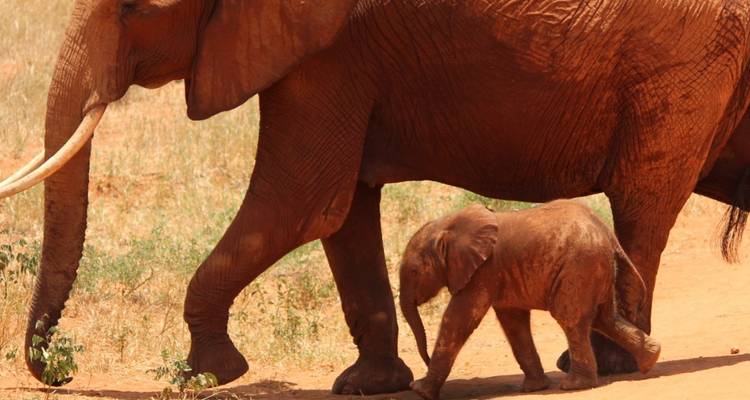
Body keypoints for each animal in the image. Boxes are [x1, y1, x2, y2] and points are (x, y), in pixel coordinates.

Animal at [398, 201, 661, 400]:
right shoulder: (499, 275)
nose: (425, 360)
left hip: (579, 267)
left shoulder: (484, 271)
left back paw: (575, 385)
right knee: (604, 318)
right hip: (595, 269)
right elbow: (513, 323)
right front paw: (534, 388)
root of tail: (608, 234)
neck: (449, 225)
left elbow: (458, 319)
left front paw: (420, 391)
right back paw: (650, 360)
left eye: (413, 271)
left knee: (572, 320)